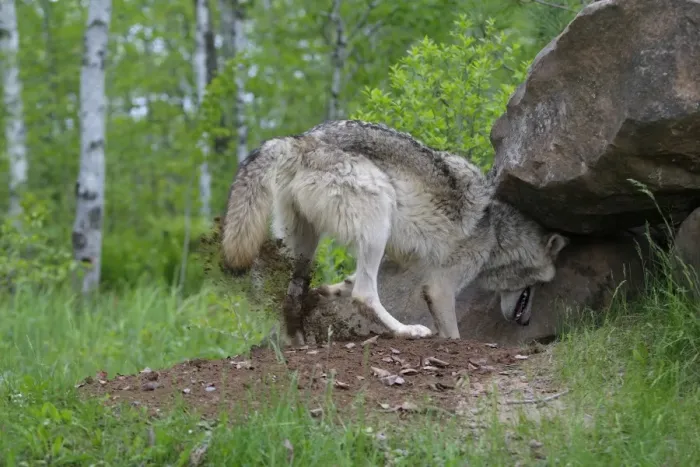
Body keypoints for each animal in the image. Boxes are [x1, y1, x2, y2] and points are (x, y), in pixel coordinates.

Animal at [221, 120, 569, 346]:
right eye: (540, 284)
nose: (526, 322)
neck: (496, 233)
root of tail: (302, 140)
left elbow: (343, 284)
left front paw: (325, 293)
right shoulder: (439, 287)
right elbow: (453, 334)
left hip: (308, 244)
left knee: (294, 294)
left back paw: (299, 340)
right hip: (378, 221)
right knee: (364, 294)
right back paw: (406, 331)